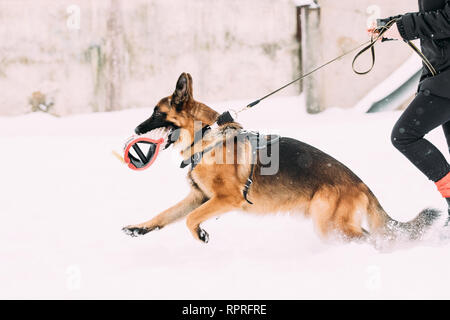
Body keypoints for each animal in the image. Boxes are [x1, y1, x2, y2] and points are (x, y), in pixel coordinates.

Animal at [123, 72, 440, 242]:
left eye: (156, 113)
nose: (136, 129)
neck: (206, 136)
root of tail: (363, 185)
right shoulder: (199, 197)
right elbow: (167, 214)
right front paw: (141, 228)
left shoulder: (225, 199)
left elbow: (190, 219)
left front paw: (200, 233)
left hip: (329, 223)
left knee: (369, 238)